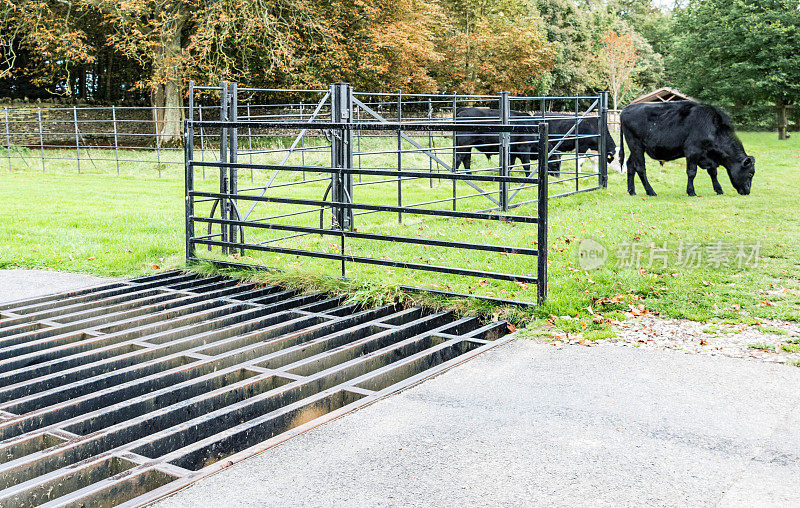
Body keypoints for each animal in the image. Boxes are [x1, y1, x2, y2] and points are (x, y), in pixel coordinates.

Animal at [620, 100, 756, 195]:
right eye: (750, 174)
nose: (747, 191)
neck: (713, 129)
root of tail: (626, 109)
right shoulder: (692, 151)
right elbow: (691, 172)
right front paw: (691, 191)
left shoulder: (707, 155)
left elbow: (713, 172)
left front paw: (719, 190)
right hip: (636, 144)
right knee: (640, 168)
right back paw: (651, 191)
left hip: (635, 148)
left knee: (630, 165)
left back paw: (632, 191)